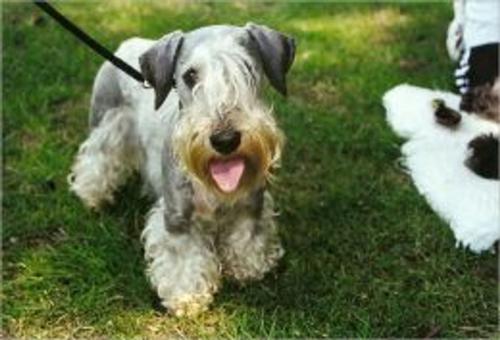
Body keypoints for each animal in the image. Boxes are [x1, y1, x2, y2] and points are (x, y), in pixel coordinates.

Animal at [70, 23, 296, 316]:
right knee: (95, 161)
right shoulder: (177, 217)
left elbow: (247, 235)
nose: (225, 140)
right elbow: (183, 258)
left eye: (247, 67)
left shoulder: (251, 204)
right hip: (106, 125)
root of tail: (128, 43)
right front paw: (186, 297)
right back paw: (92, 198)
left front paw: (248, 267)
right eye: (190, 75)